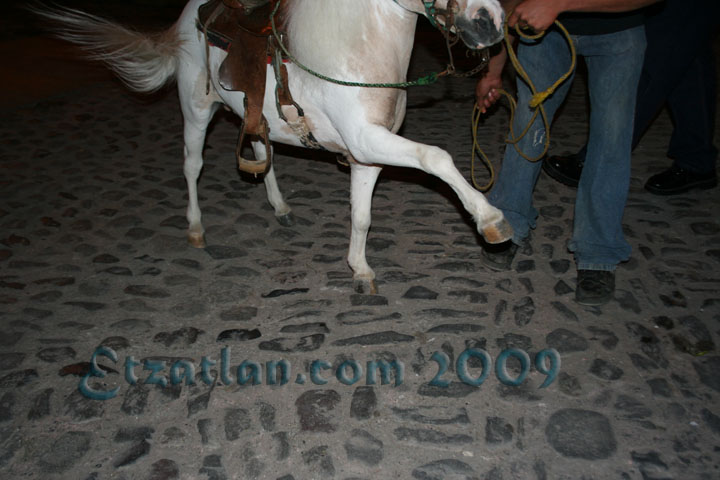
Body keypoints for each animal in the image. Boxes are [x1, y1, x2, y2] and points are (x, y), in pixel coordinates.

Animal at [38, 0, 511, 294]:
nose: (491, 19)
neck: (354, 51)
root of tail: (191, 14)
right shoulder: (370, 141)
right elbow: (437, 156)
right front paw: (490, 219)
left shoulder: (368, 153)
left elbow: (361, 216)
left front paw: (359, 271)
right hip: (196, 111)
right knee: (192, 166)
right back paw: (196, 228)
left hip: (253, 115)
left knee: (262, 156)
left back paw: (280, 207)